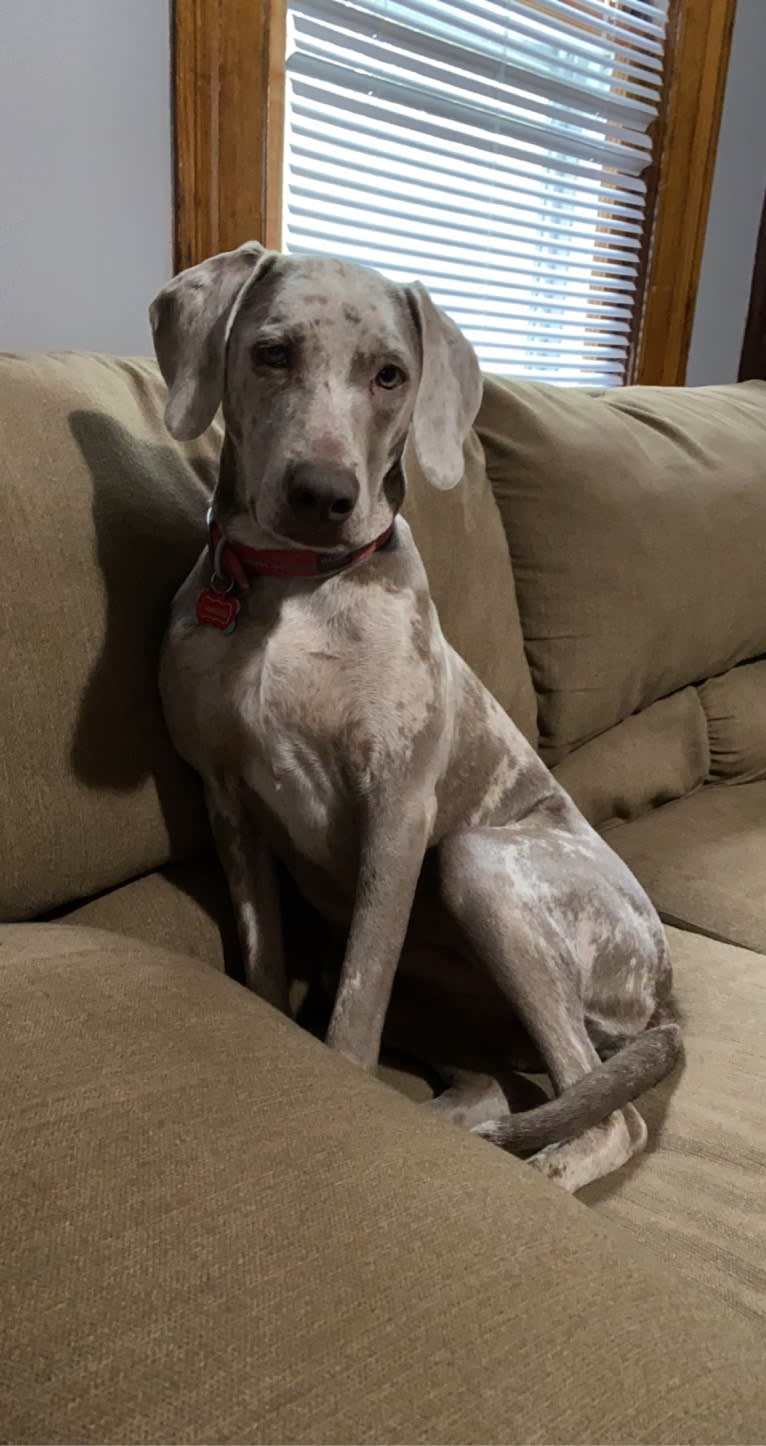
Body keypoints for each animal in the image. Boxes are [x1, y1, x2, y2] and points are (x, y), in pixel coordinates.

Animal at [148, 242, 679, 1191]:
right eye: (271, 353)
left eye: (390, 375)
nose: (322, 494)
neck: (294, 586)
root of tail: (663, 983)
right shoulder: (228, 799)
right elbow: (263, 962)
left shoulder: (396, 811)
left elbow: (355, 1015)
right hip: (444, 981)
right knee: (497, 1088)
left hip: (482, 868)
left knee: (611, 1116)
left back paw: (544, 1167)